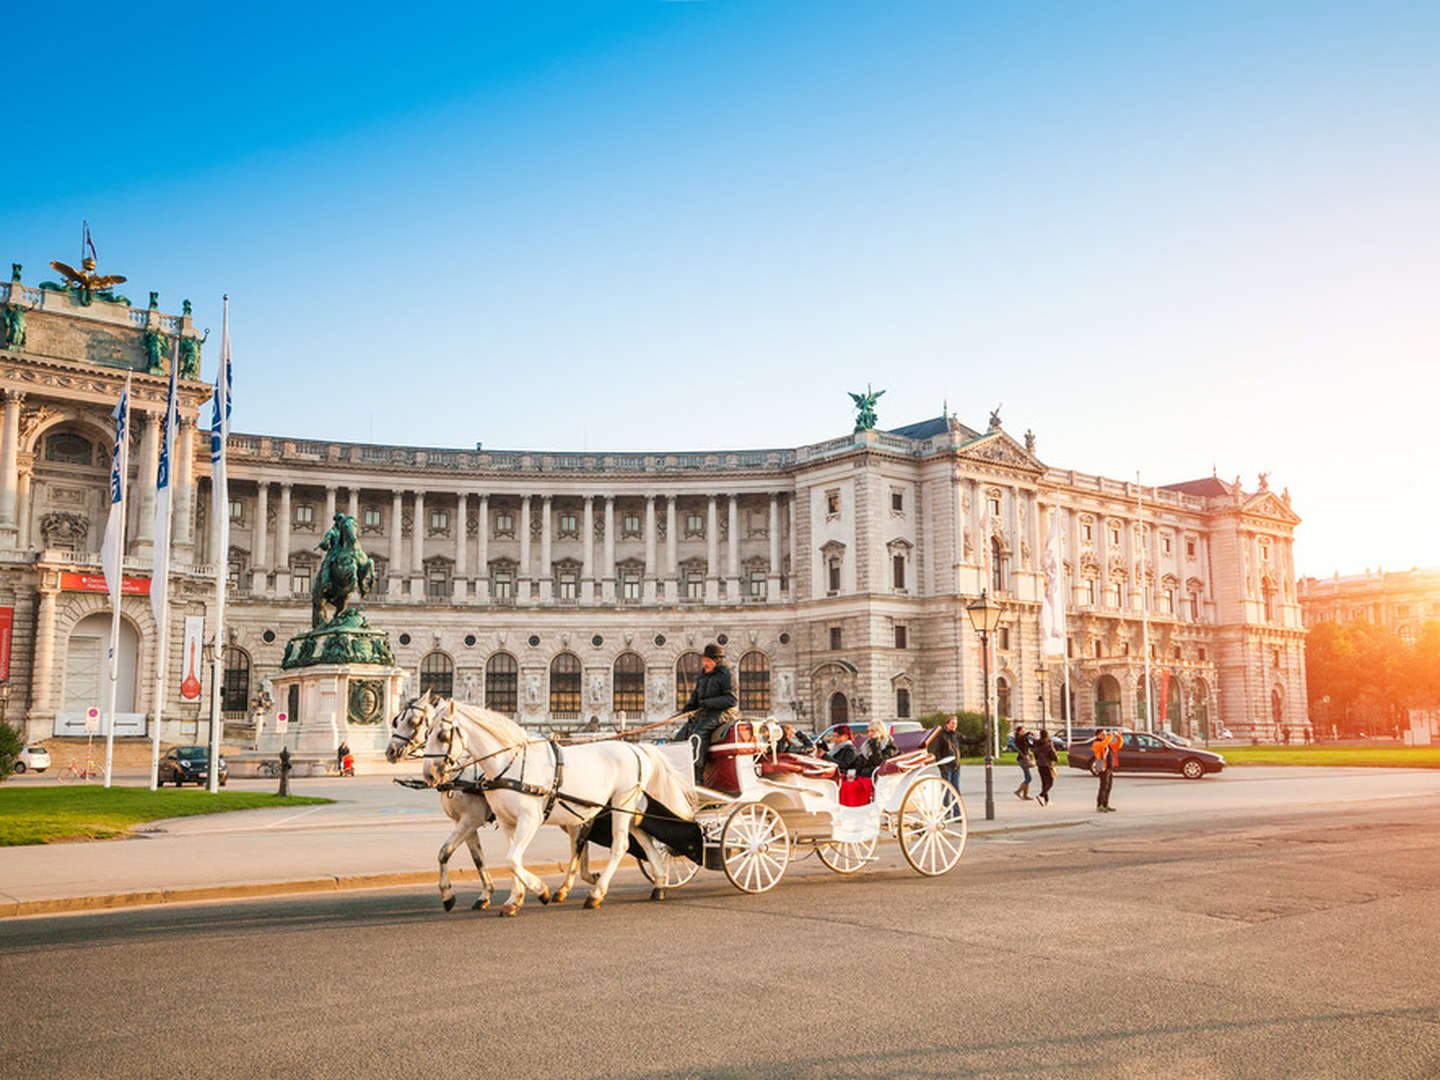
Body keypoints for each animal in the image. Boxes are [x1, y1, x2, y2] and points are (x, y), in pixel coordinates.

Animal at [411, 696, 696, 915]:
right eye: (425, 732)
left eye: (442, 735)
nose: (429, 775)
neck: (509, 763)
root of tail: (636, 749)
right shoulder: (504, 822)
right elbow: (506, 859)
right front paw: (513, 899)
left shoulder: (527, 819)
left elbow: (511, 859)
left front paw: (540, 890)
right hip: (625, 807)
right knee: (643, 838)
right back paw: (659, 883)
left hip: (621, 800)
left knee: (620, 845)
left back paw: (596, 893)